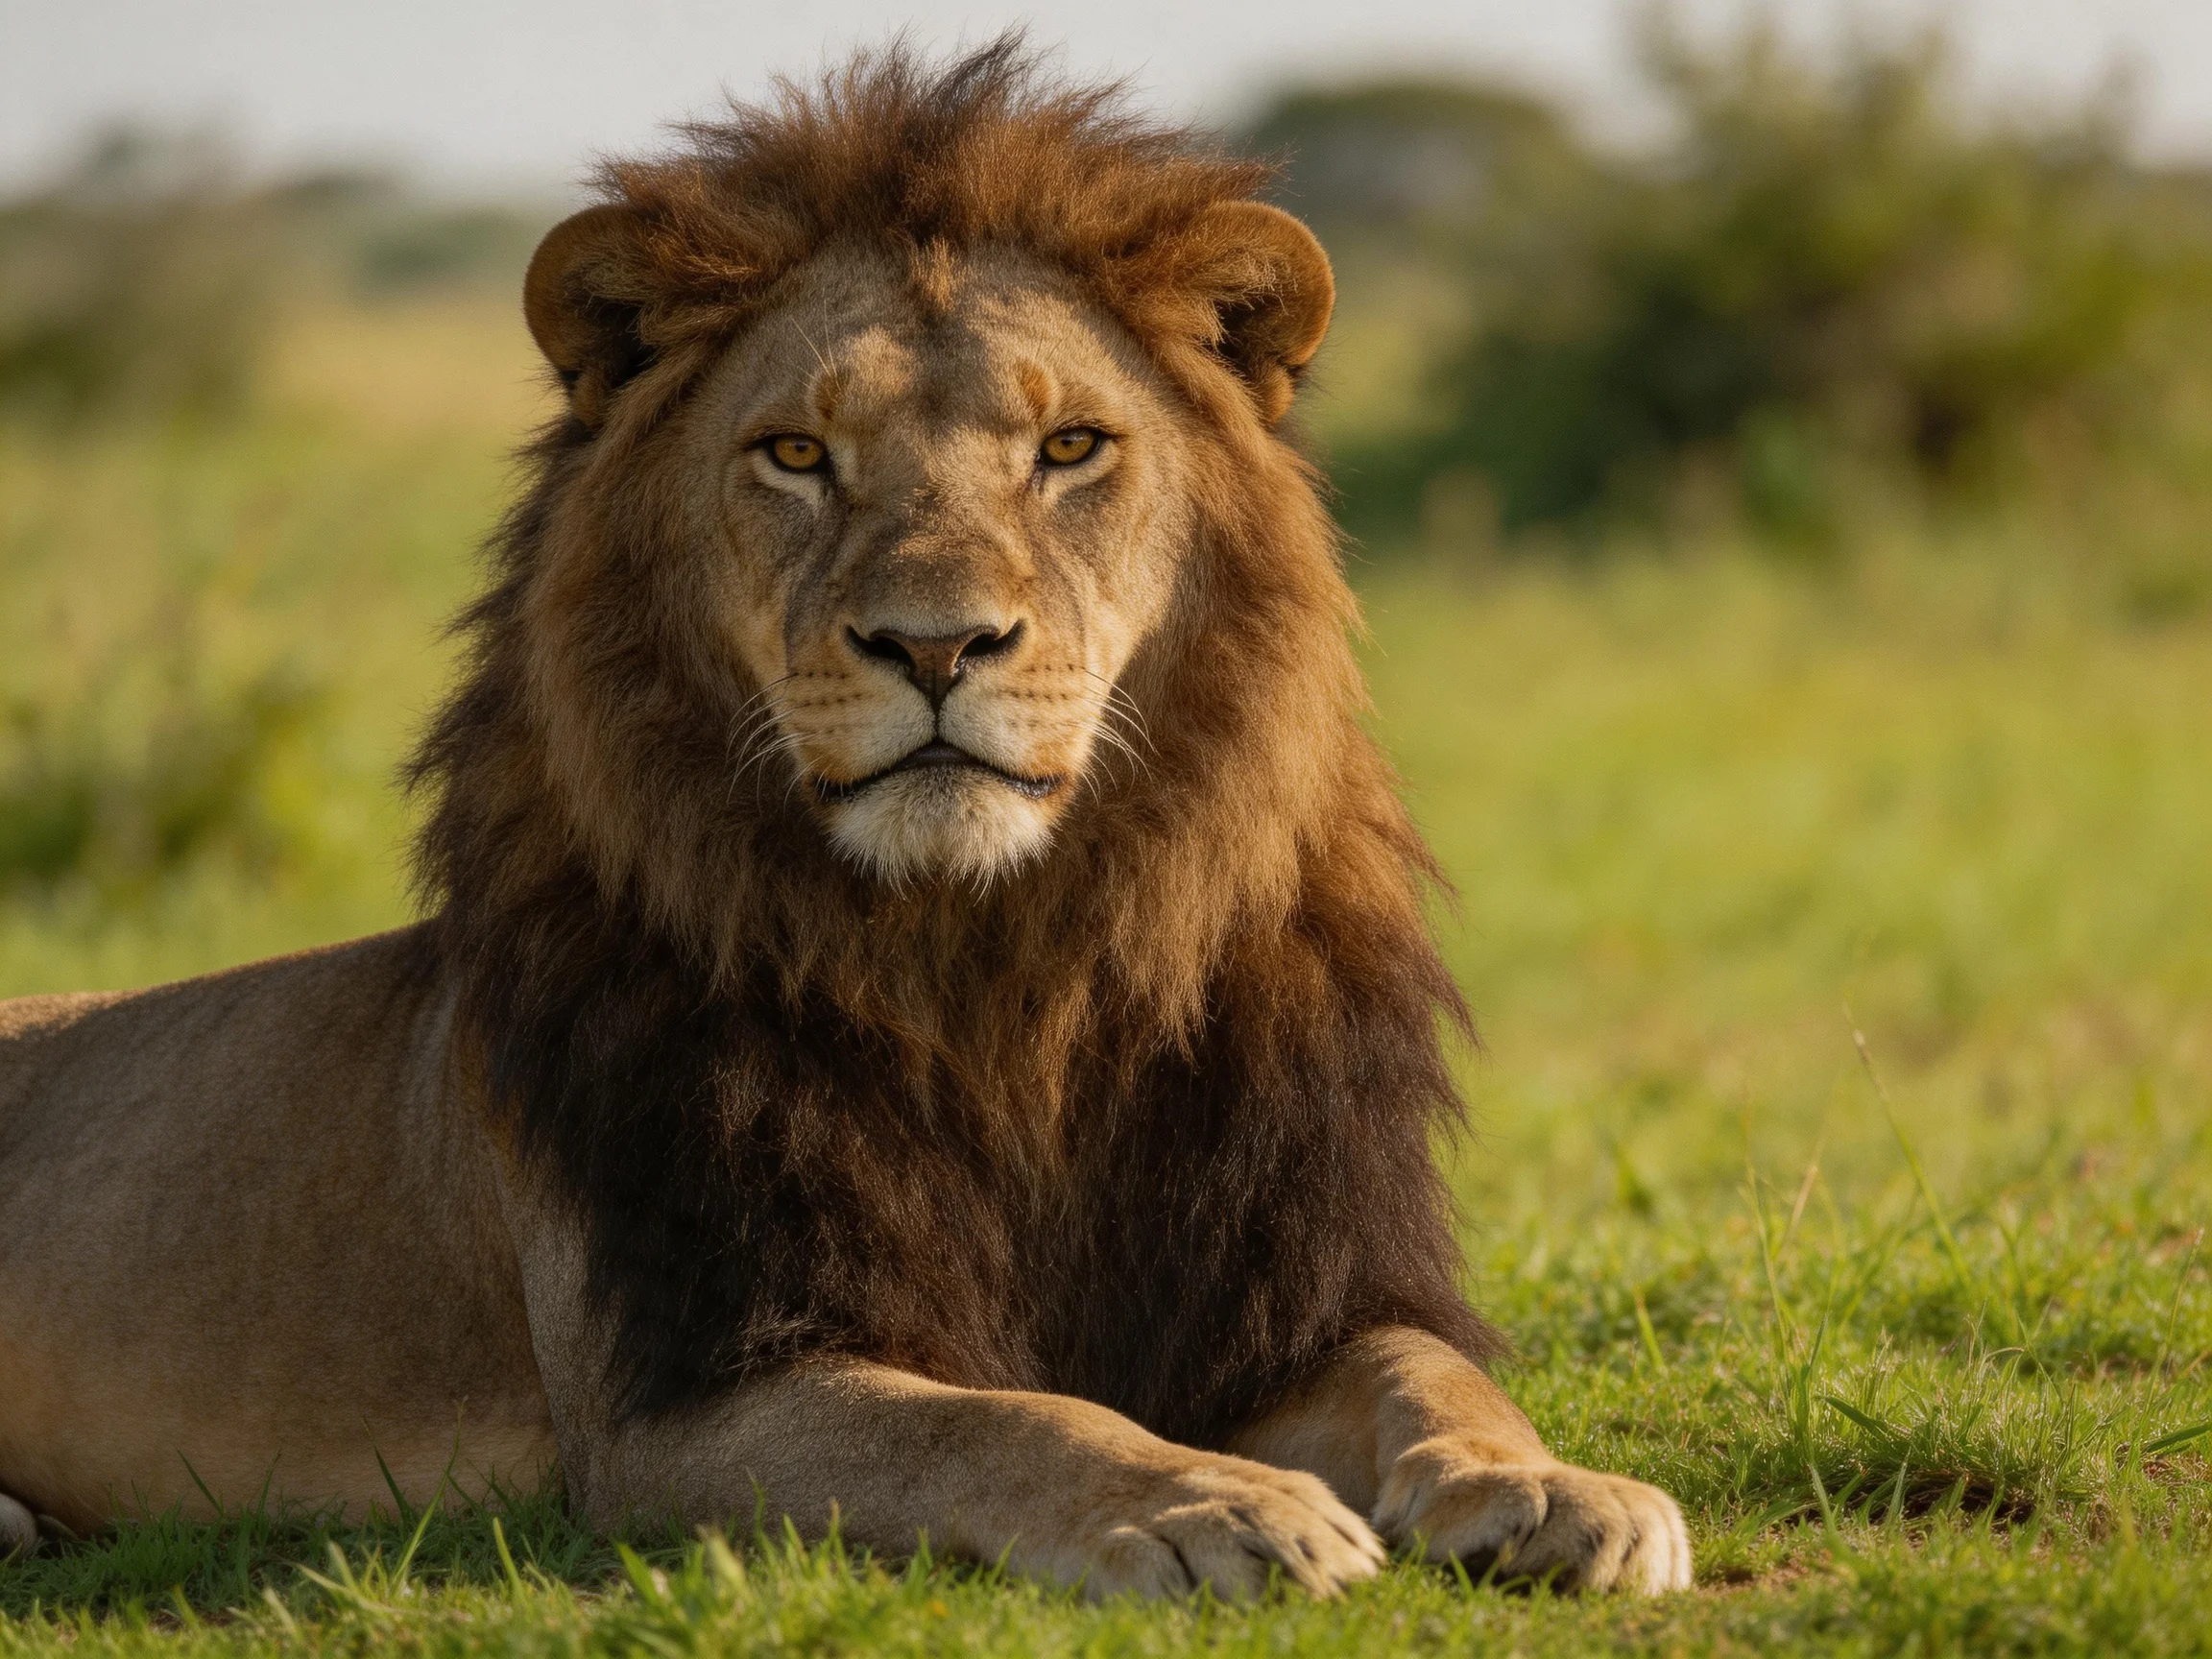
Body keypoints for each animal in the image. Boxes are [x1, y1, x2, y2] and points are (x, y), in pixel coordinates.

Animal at [0, 44, 1690, 1597]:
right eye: (798, 455)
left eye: (1068, 448)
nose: (937, 647)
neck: (997, 969)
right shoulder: (685, 1397)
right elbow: (1000, 1421)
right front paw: (1208, 1502)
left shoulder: (1298, 1295)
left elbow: (1433, 1372)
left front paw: (1552, 1488)